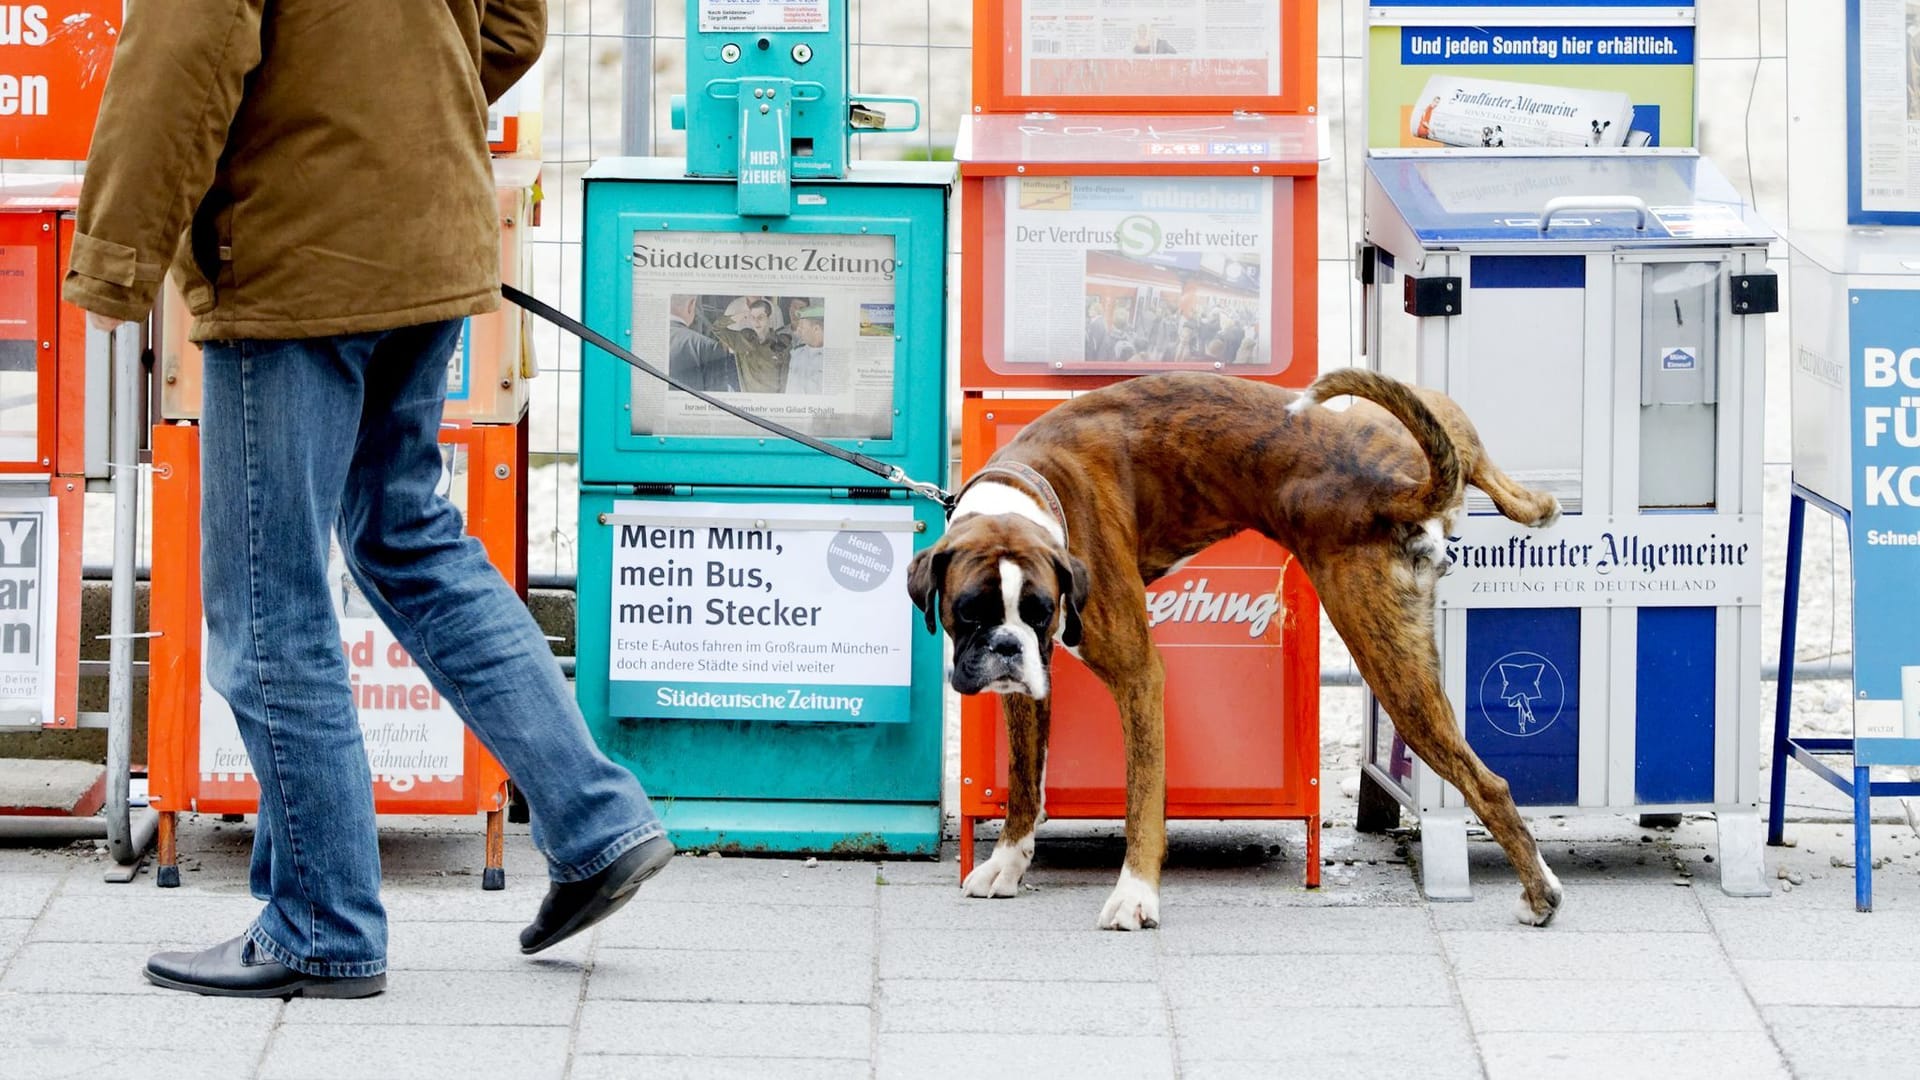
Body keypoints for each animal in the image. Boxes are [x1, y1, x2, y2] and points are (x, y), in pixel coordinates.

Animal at [906, 367, 1566, 926]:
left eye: (1041, 611)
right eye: (969, 613)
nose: (1006, 648)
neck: (1035, 489)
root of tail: (1397, 486)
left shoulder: (1137, 675)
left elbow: (1142, 795)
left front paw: (1135, 894)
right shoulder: (1026, 688)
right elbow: (1023, 777)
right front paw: (1007, 862)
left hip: (1391, 668)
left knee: (1488, 783)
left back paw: (1539, 894)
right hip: (1391, 436)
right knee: (1454, 430)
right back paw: (1535, 504)